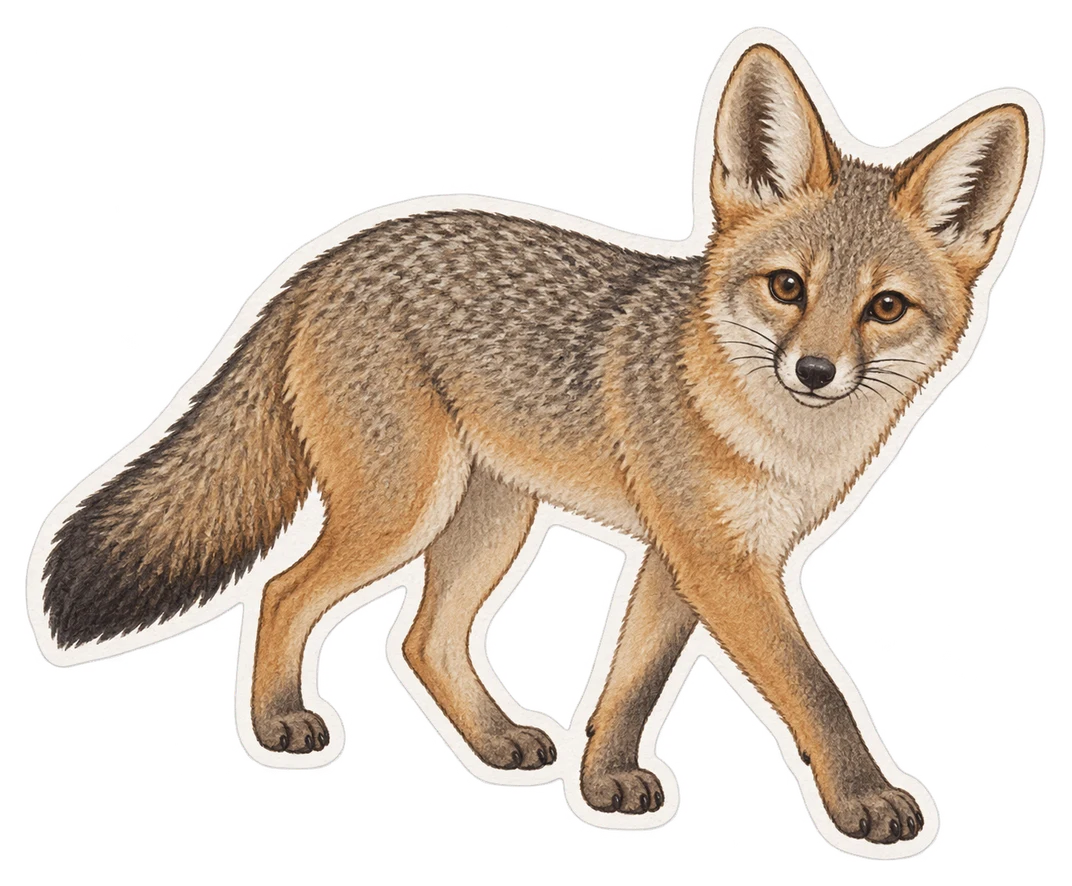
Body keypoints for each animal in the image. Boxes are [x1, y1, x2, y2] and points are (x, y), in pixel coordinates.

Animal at [34, 43, 1030, 844]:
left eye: (885, 308)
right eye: (788, 287)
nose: (816, 371)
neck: (779, 440)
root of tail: (323, 261)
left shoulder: (687, 559)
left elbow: (630, 683)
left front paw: (604, 783)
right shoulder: (724, 566)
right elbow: (816, 689)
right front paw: (865, 802)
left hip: (491, 520)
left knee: (422, 640)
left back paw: (493, 741)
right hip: (404, 510)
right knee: (282, 591)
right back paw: (280, 722)